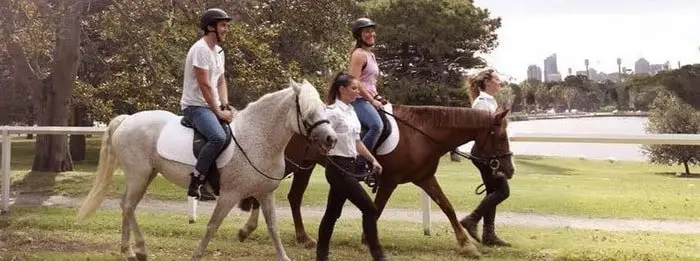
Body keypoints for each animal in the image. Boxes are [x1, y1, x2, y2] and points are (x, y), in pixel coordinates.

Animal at [77, 78, 340, 260]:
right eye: (308, 111)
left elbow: (273, 227)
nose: (331, 139)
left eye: (324, 107)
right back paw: (136, 250)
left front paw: (283, 256)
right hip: (138, 175)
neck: (258, 137)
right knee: (128, 206)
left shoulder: (265, 194)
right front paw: (197, 255)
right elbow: (213, 226)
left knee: (128, 207)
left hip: (146, 175)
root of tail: (128, 120)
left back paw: (130, 250)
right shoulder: (229, 196)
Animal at [235, 104, 516, 256]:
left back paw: (300, 237)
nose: (509, 170)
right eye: (501, 137)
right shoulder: (390, 180)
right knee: (264, 187)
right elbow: (378, 208)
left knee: (293, 197)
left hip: (304, 165)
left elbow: (446, 206)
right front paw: (365, 239)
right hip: (291, 163)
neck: (420, 134)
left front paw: (466, 244)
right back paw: (248, 228)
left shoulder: (425, 178)